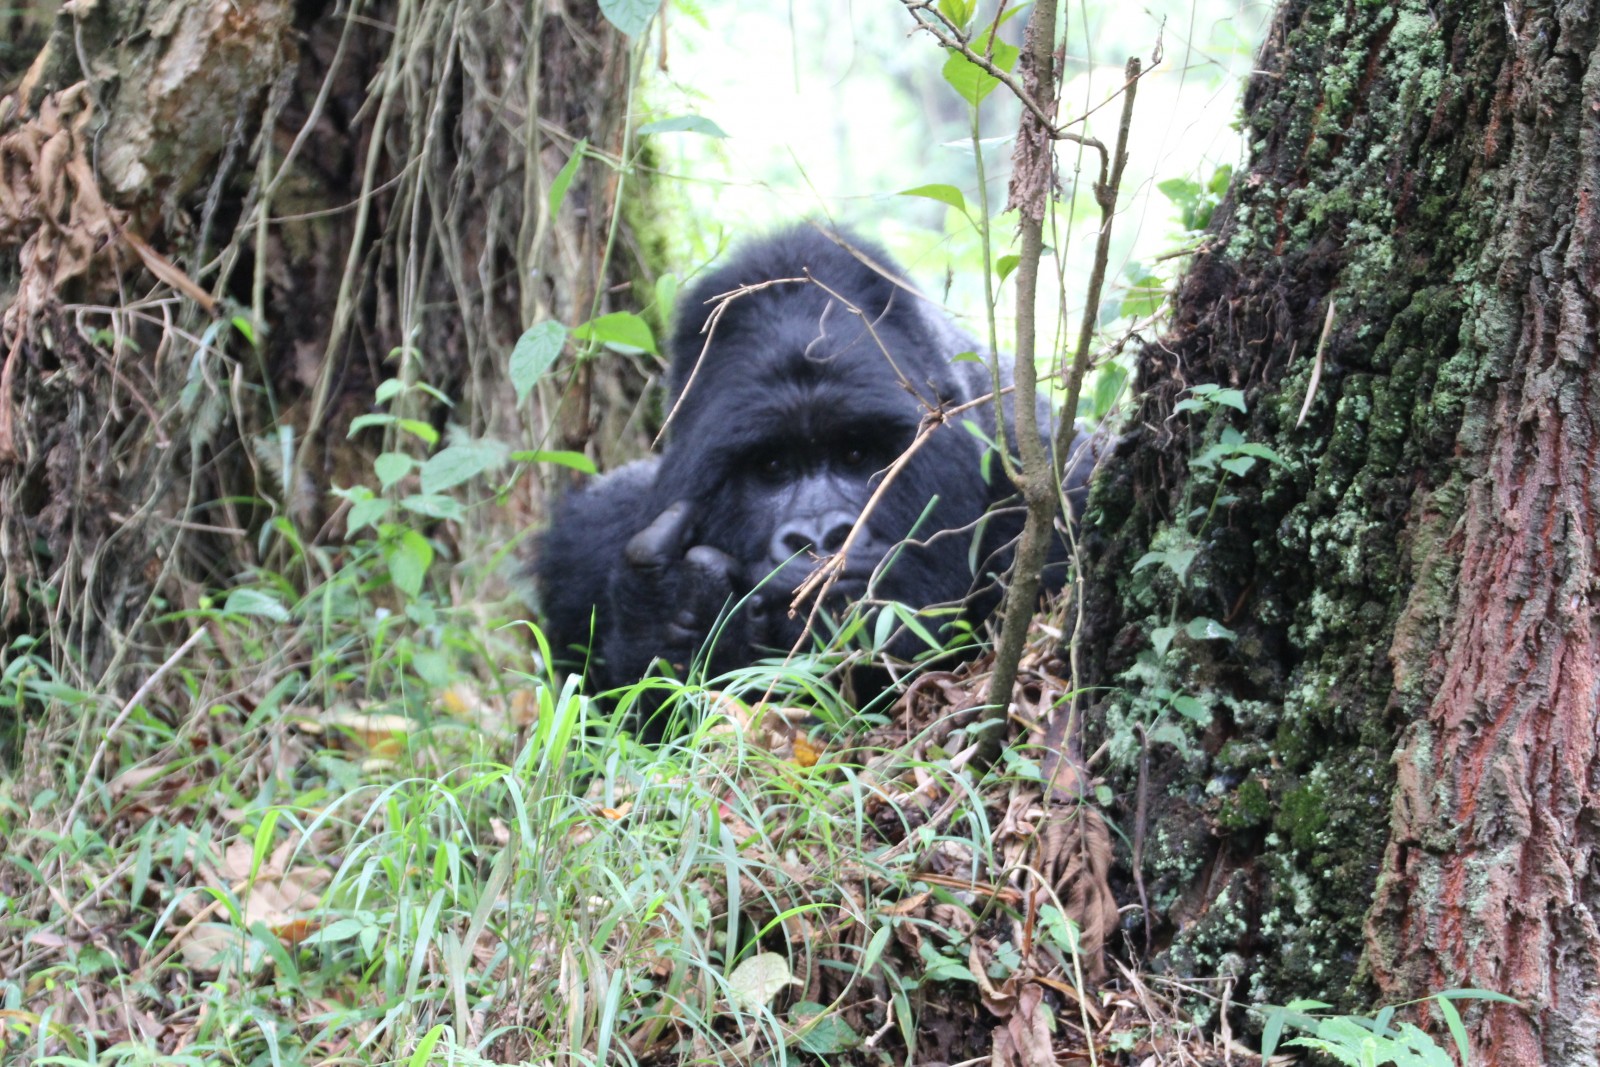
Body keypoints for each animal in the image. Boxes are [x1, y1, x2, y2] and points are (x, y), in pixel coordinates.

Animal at [534, 225, 1088, 726]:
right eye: (773, 468)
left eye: (855, 454)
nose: (821, 536)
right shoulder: (586, 542)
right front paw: (671, 613)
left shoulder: (1059, 481)